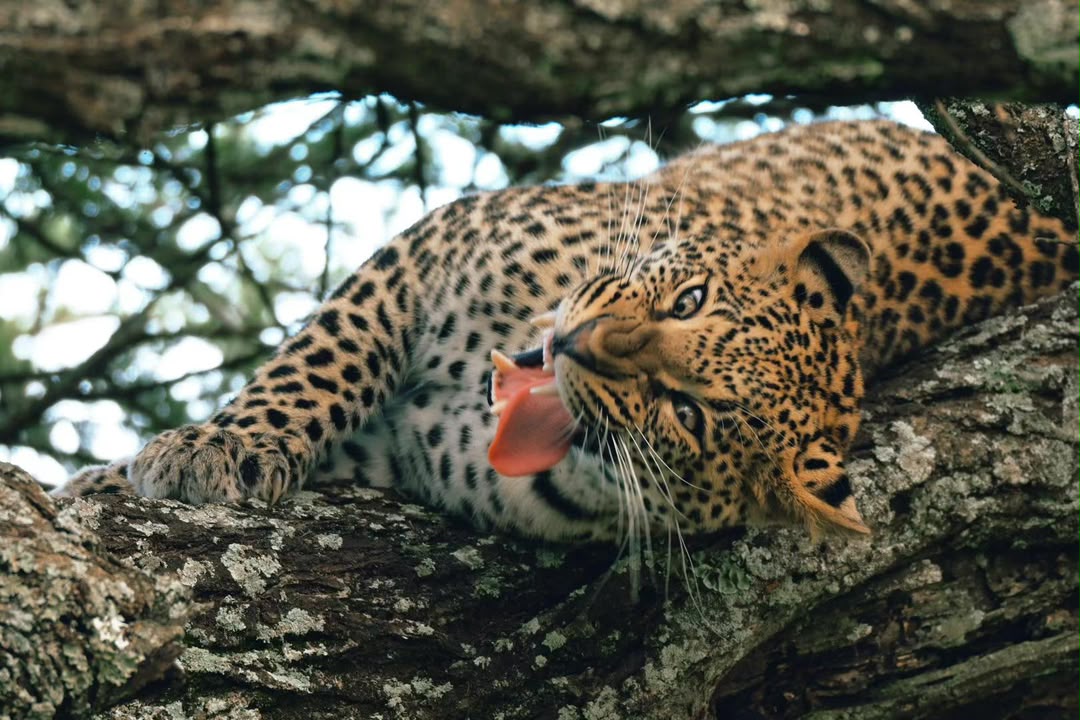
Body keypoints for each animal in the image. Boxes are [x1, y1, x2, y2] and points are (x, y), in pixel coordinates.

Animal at [59, 119, 1080, 543]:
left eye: (688, 413)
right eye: (687, 299)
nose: (580, 347)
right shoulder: (427, 251)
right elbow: (318, 362)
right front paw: (214, 449)